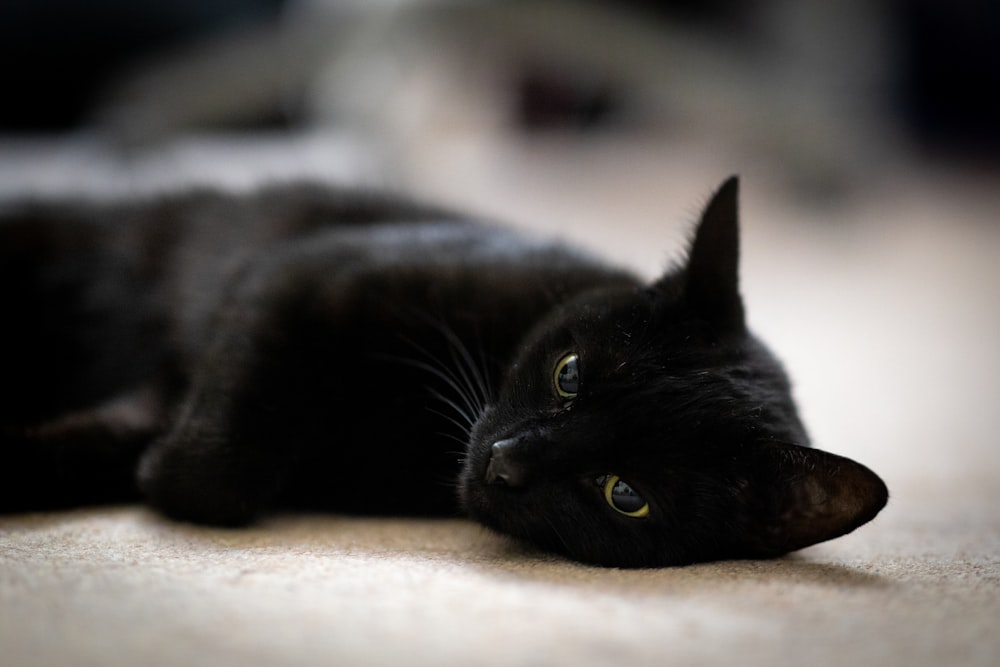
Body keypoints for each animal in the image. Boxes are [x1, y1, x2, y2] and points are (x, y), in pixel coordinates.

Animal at [3, 179, 888, 568]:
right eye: (569, 373)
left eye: (625, 493)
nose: (504, 462)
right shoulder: (305, 272)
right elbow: (218, 461)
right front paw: (167, 462)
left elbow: (196, 470)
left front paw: (142, 461)